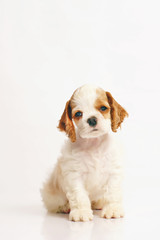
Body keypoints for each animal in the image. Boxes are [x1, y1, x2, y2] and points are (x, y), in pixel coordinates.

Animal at [40, 84, 128, 221]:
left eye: (103, 108)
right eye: (78, 114)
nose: (92, 119)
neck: (94, 144)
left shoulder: (113, 172)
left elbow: (112, 192)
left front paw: (112, 210)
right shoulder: (74, 175)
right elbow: (79, 195)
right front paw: (81, 212)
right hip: (51, 194)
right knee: (55, 204)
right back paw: (65, 207)